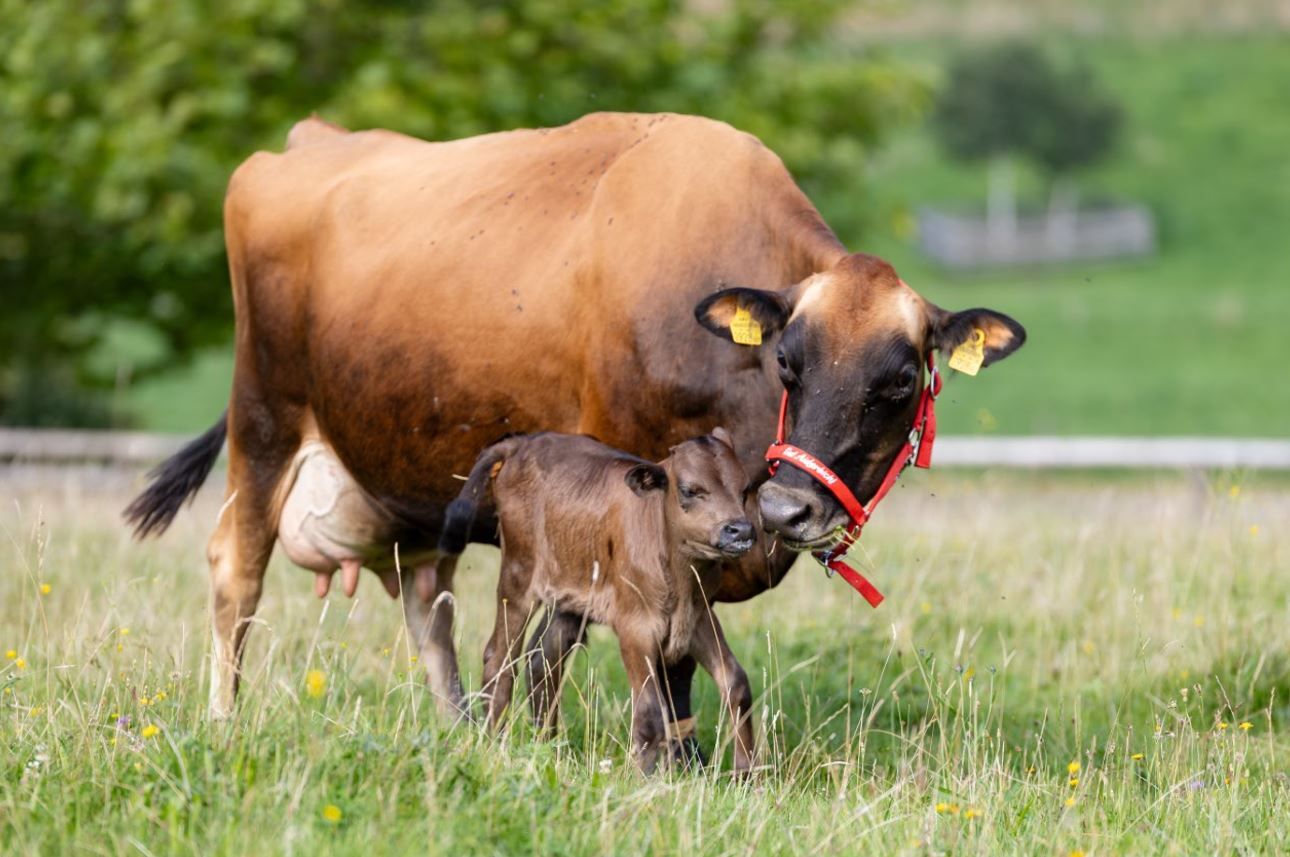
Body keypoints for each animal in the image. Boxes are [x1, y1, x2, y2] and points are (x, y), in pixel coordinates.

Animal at [123, 111, 1024, 731]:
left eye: (900, 379)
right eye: (788, 363)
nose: (786, 508)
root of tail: (315, 137)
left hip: (408, 470)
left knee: (428, 600)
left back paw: (459, 728)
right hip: (265, 414)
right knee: (236, 569)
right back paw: (225, 720)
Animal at [439, 430, 758, 773]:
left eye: (744, 489)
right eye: (689, 489)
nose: (740, 530)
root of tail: (523, 441)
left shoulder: (699, 617)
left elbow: (736, 684)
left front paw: (746, 774)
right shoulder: (635, 625)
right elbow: (649, 713)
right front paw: (646, 778)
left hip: (569, 598)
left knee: (543, 657)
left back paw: (549, 746)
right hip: (518, 576)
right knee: (499, 658)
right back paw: (492, 743)